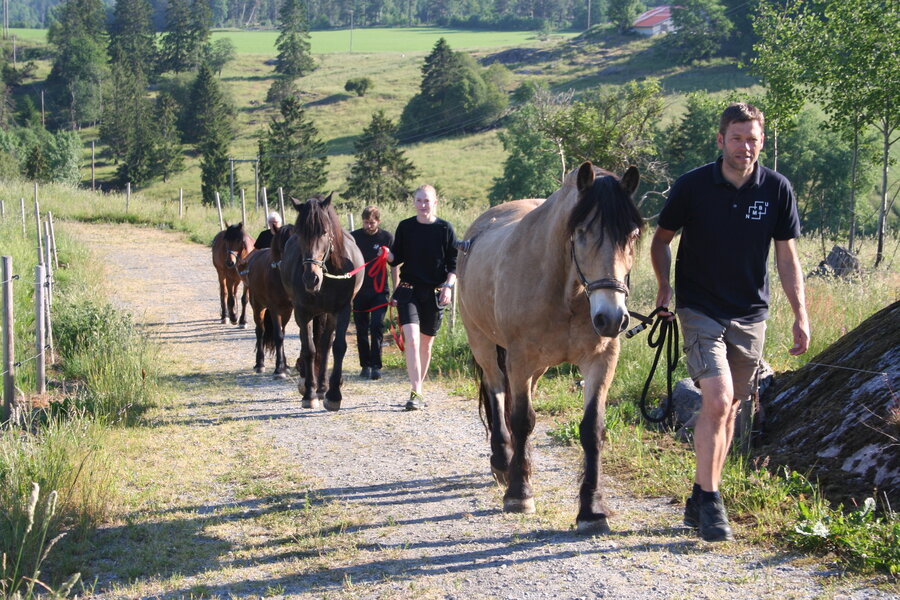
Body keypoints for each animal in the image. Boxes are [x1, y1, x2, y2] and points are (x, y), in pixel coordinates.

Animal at [282, 195, 366, 410]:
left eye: (325, 232)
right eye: (300, 233)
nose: (311, 279)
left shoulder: (342, 310)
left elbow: (338, 347)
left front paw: (334, 394)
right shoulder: (302, 312)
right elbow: (309, 349)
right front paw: (309, 394)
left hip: (329, 314)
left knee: (326, 343)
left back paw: (323, 387)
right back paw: (312, 386)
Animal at [460, 162, 644, 532]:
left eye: (631, 235)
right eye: (583, 231)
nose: (611, 319)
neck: (567, 292)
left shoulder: (600, 360)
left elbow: (592, 429)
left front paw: (591, 509)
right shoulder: (520, 357)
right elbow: (521, 421)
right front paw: (519, 494)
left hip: (537, 367)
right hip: (484, 344)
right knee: (497, 392)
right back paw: (503, 462)